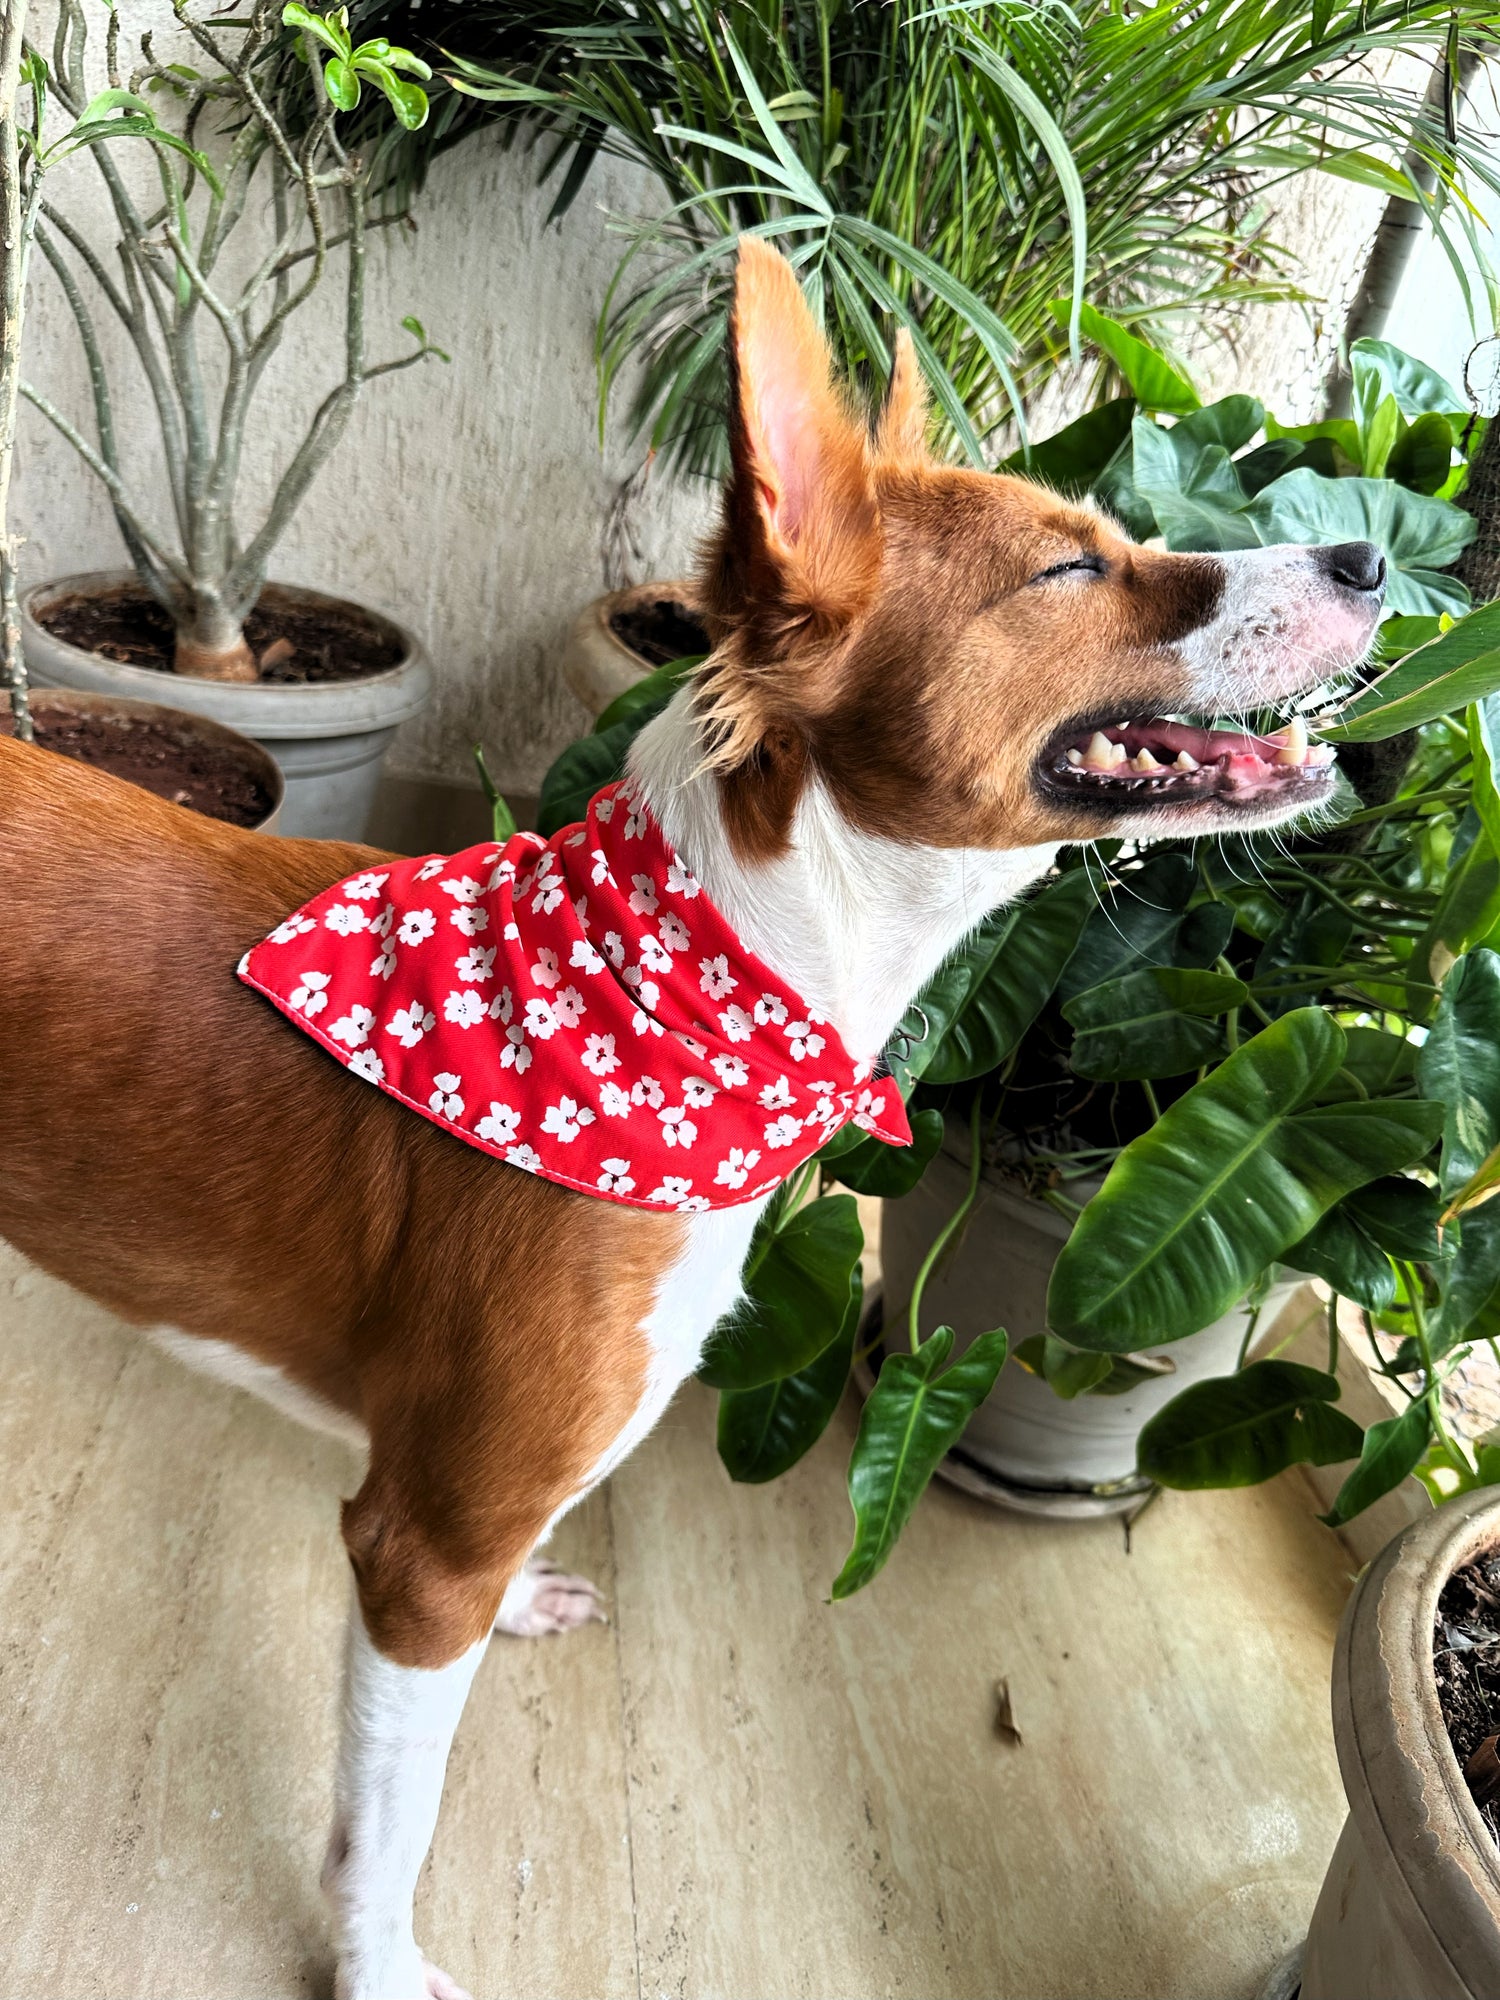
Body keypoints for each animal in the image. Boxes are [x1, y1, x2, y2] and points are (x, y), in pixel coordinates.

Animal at [0, 238, 1384, 2000]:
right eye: (1072, 569)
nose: (1370, 551)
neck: (678, 990)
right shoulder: (418, 1553)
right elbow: (389, 1821)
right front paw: (377, 1967)